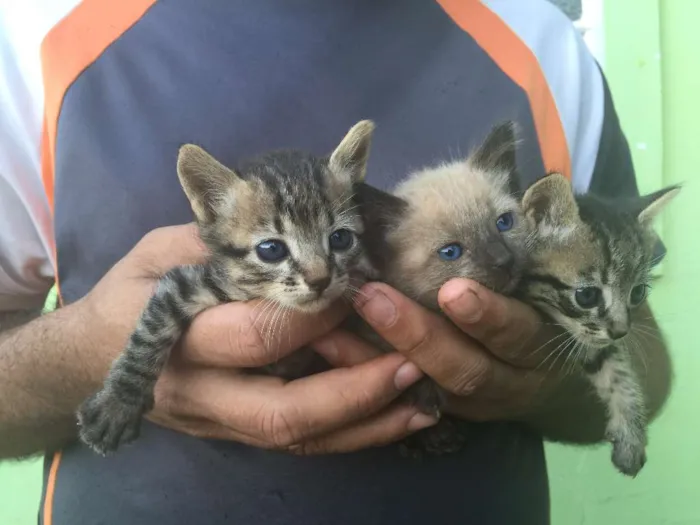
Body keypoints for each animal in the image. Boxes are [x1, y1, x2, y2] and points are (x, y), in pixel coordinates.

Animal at [78, 119, 380, 454]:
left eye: (340, 239)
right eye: (271, 249)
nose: (320, 279)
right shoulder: (189, 282)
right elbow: (151, 330)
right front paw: (118, 404)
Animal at [520, 172, 680, 474]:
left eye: (637, 293)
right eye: (587, 296)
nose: (621, 332)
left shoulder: (592, 340)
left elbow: (618, 372)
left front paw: (631, 437)